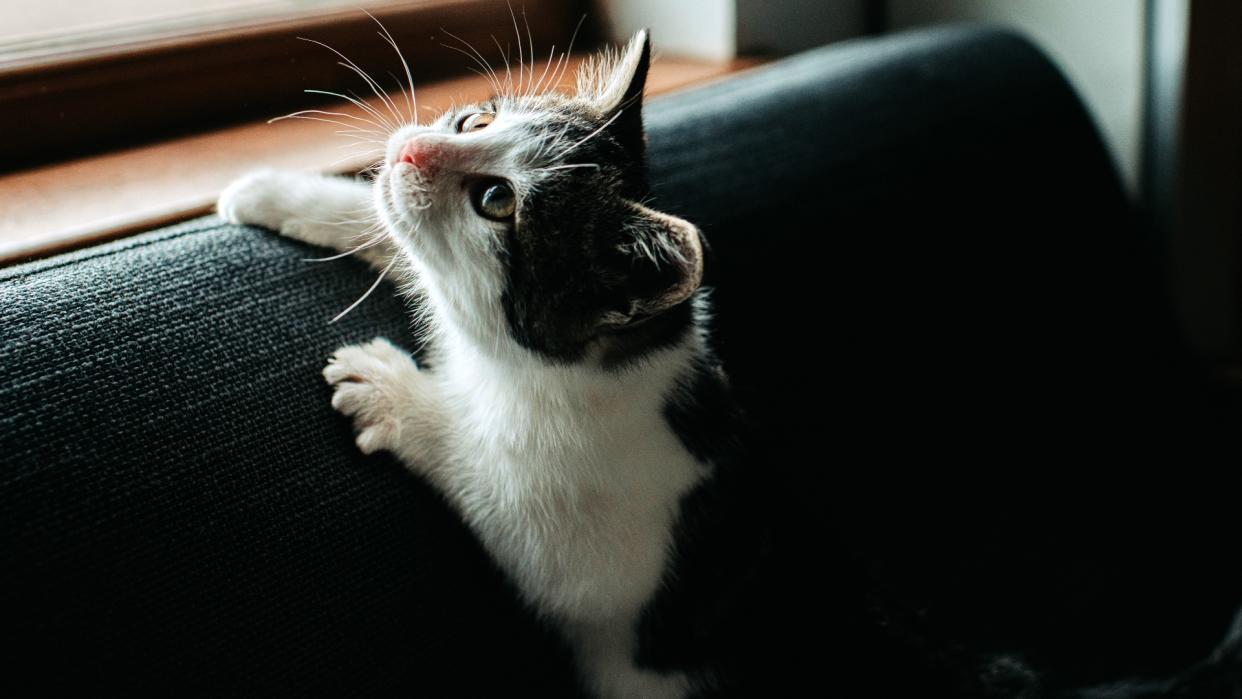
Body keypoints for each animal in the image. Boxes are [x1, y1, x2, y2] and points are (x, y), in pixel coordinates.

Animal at [219, 30, 730, 695]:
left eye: (496, 200)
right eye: (476, 120)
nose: (412, 150)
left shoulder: (606, 558)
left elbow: (492, 492)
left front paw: (391, 391)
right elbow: (393, 228)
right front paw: (272, 191)